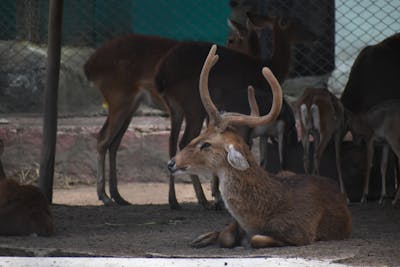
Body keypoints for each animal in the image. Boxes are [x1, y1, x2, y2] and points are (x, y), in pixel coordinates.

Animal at [83, 33, 179, 205]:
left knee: (113, 143)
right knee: (103, 139)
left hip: (130, 106)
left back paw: (118, 196)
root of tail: (89, 65)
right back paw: (104, 196)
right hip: (119, 100)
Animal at [167, 46, 352, 249]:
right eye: (199, 136)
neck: (260, 215)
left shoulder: (301, 232)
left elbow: (256, 239)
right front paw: (205, 237)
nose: (171, 163)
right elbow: (227, 236)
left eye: (206, 144)